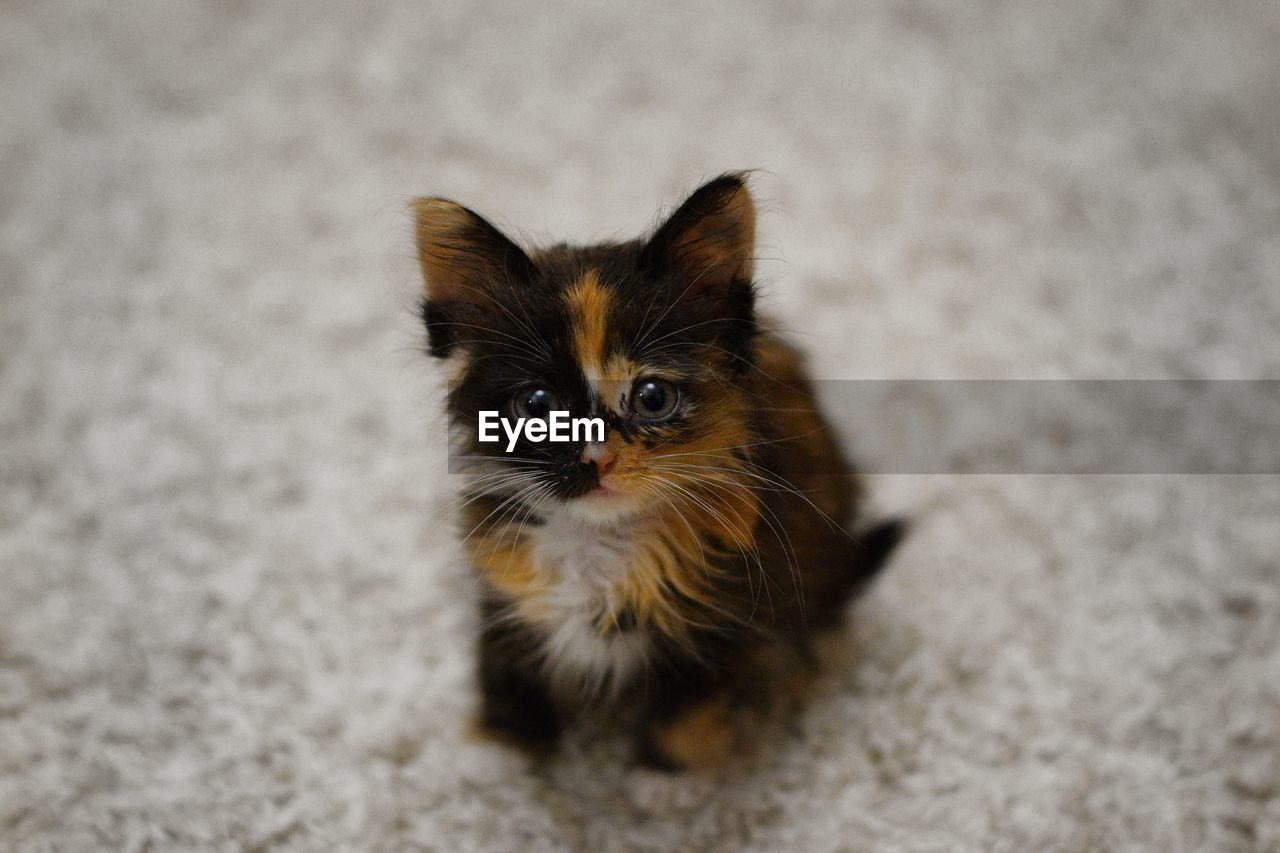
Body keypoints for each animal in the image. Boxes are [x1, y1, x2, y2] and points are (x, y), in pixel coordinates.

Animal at [414, 172, 906, 768]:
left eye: (652, 397)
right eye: (536, 406)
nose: (596, 457)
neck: (600, 545)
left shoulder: (731, 614)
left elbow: (683, 725)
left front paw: (667, 770)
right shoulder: (502, 588)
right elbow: (503, 670)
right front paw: (502, 752)